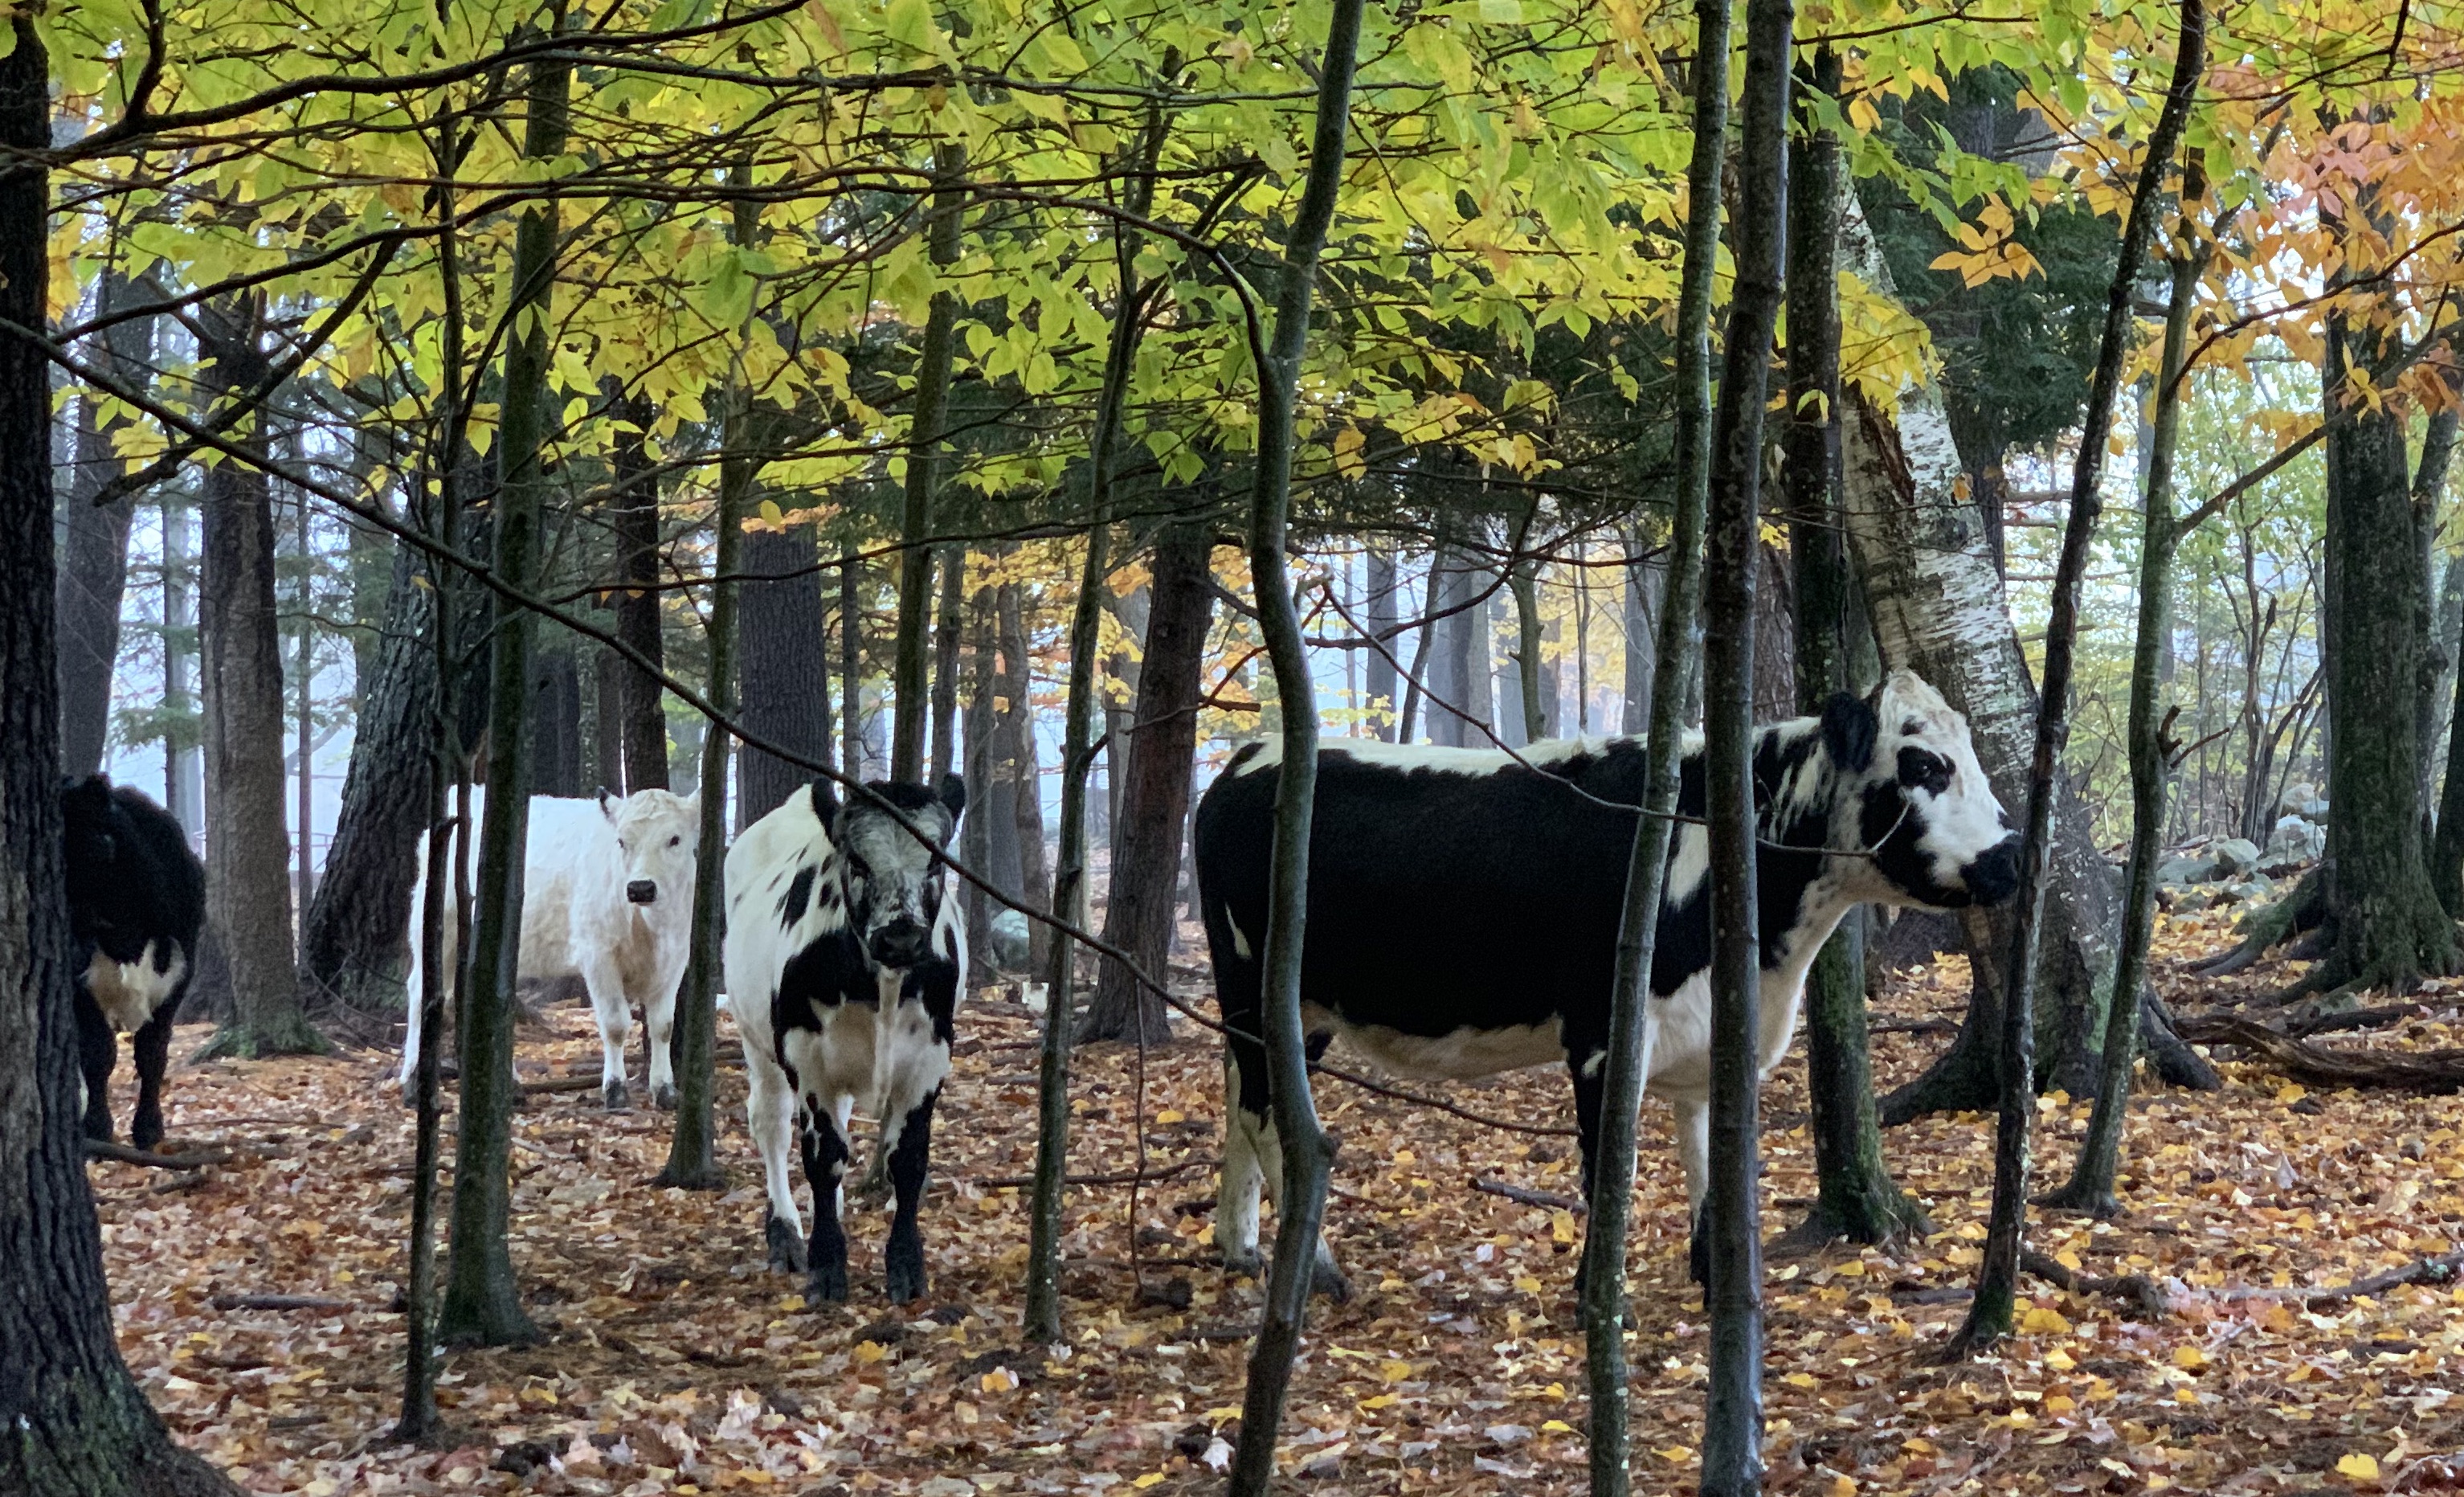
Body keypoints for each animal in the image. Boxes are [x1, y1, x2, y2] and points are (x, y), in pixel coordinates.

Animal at [63, 779, 206, 1154]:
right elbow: (98, 1053)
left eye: (90, 847)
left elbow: (152, 1054)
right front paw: (97, 1127)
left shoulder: (181, 973)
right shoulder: (80, 986)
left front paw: (149, 1129)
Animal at [396, 784, 700, 1115]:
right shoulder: (597, 954)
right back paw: (412, 1083)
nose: (641, 887)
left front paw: (665, 1090)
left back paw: (511, 1087)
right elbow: (616, 1024)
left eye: (675, 839)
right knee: (419, 992)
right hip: (437, 927)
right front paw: (615, 1091)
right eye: (621, 841)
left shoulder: (675, 959)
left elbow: (663, 1025)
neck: (650, 927)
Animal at [719, 779, 961, 1302]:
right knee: (770, 1124)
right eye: (857, 861)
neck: (882, 985)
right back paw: (786, 1233)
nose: (901, 936)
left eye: (935, 862)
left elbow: (908, 1161)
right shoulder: (806, 1058)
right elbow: (823, 1156)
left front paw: (907, 1266)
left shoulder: (931, 1058)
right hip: (757, 1040)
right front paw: (827, 1266)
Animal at [1192, 665, 2020, 1292]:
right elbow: (1607, 1168)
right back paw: (1318, 1269)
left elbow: (1706, 1159)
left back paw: (1239, 1244)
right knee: (1265, 1112)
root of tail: (1247, 755)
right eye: (1923, 764)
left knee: (1240, 1097)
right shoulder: (1600, 1032)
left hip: (1294, 1009)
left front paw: (1711, 1276)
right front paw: (1597, 1290)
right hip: (1252, 985)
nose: (2011, 855)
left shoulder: (1709, 1037)